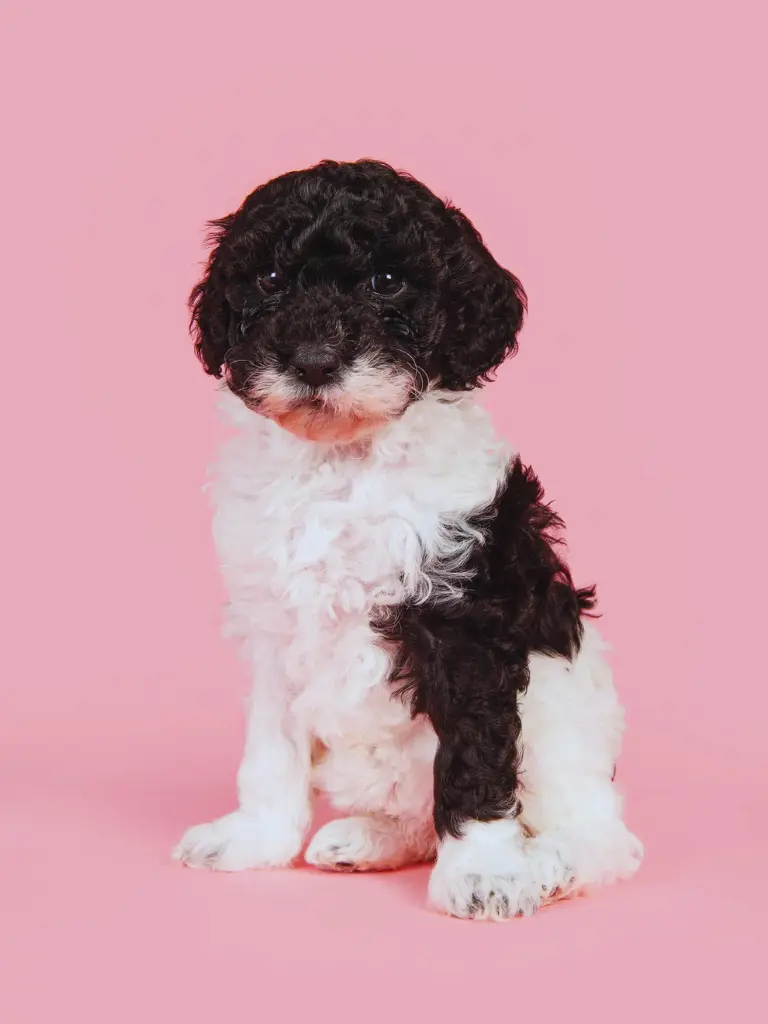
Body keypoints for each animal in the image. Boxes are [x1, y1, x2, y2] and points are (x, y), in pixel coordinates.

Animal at [174, 159, 643, 921]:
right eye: (269, 280)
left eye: (387, 282)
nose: (313, 359)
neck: (345, 462)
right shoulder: (271, 627)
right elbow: (269, 753)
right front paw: (253, 839)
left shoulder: (467, 625)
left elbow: (475, 762)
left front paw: (485, 871)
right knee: (421, 818)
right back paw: (368, 838)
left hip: (564, 735)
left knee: (604, 840)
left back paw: (546, 865)